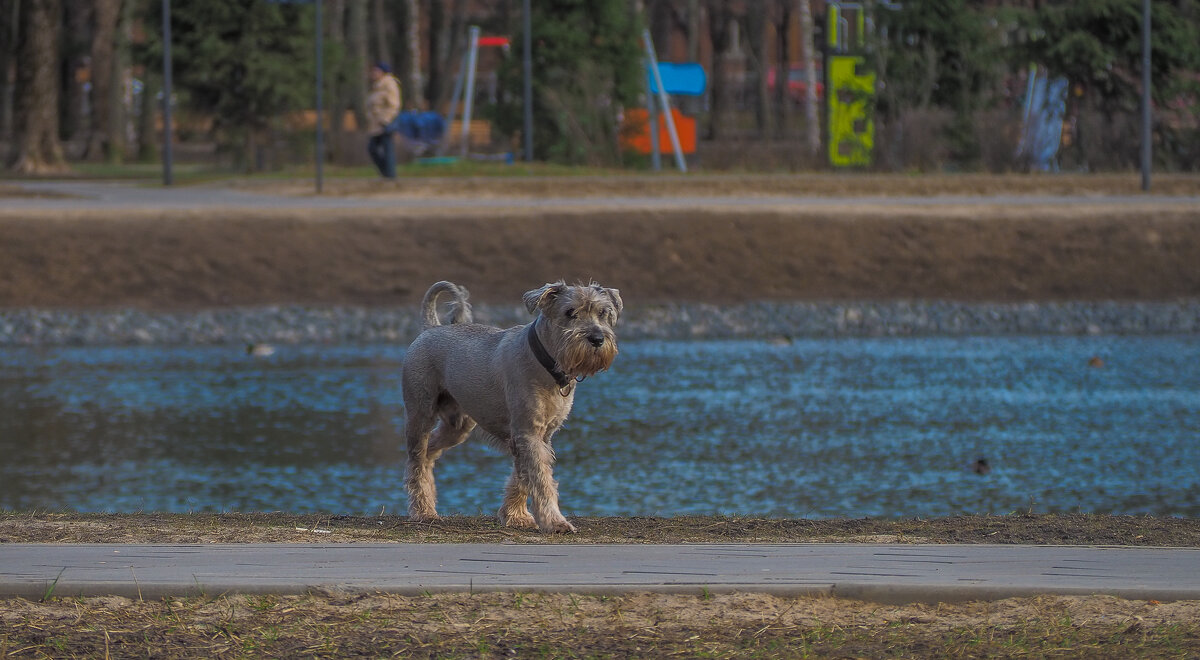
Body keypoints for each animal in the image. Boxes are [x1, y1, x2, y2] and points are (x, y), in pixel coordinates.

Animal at [405, 282, 628, 535]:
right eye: (570, 312)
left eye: (603, 312)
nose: (597, 338)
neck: (547, 364)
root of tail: (431, 328)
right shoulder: (527, 432)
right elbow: (540, 479)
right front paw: (555, 522)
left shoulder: (539, 436)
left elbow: (523, 477)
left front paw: (515, 516)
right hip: (420, 415)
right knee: (416, 460)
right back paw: (423, 511)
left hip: (458, 425)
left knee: (429, 453)